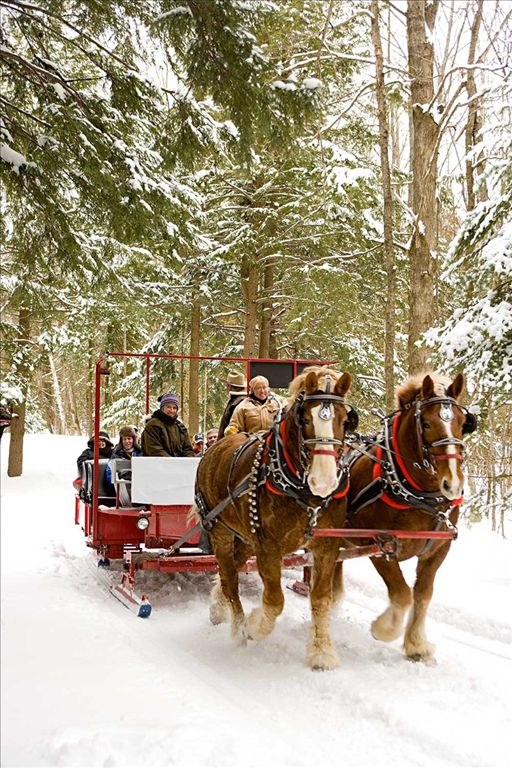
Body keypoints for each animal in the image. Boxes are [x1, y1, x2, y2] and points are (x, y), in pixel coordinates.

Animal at [193, 364, 356, 664]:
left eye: (344, 419)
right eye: (306, 419)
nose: (324, 481)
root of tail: (213, 449)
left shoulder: (327, 546)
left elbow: (321, 598)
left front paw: (322, 651)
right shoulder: (268, 548)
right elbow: (275, 600)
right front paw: (255, 626)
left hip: (246, 539)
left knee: (232, 568)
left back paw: (217, 608)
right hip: (220, 530)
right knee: (230, 579)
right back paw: (238, 629)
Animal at [334, 370, 474, 660]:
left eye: (462, 422)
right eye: (427, 424)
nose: (453, 484)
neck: (418, 495)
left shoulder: (437, 550)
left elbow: (423, 594)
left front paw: (417, 643)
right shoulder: (379, 544)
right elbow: (401, 593)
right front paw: (384, 628)